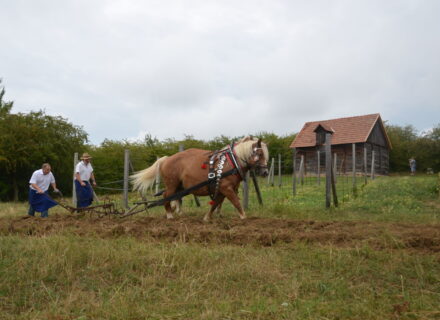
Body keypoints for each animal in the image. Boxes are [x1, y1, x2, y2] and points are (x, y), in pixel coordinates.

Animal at [131, 136, 268, 221]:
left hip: (180, 186)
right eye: (260, 154)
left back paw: (179, 214)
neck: (232, 162)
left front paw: (207, 218)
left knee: (176, 198)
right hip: (171, 185)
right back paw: (170, 216)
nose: (265, 172)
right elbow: (236, 202)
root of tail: (166, 159)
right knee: (166, 197)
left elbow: (216, 203)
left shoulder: (223, 189)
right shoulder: (226, 188)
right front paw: (244, 217)